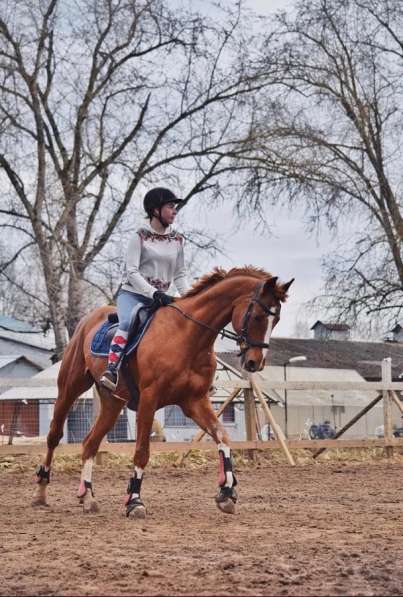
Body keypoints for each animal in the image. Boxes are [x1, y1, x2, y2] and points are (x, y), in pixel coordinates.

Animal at [34, 266, 294, 516]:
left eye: (277, 320)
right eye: (259, 316)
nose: (254, 363)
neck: (188, 336)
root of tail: (88, 320)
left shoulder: (194, 402)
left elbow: (223, 437)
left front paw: (227, 491)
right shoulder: (149, 400)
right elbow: (142, 451)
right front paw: (134, 501)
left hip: (113, 403)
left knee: (90, 442)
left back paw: (88, 496)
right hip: (70, 388)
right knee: (54, 436)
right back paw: (41, 491)